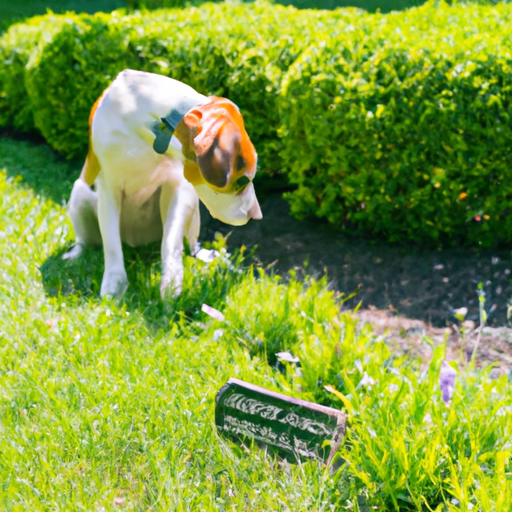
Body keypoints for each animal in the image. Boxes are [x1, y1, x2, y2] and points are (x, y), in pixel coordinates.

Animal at [64, 70, 262, 298]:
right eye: (242, 180)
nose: (256, 214)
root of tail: (136, 242)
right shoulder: (108, 189)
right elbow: (111, 244)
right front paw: (114, 288)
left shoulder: (178, 188)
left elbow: (170, 240)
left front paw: (171, 284)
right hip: (80, 193)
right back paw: (76, 253)